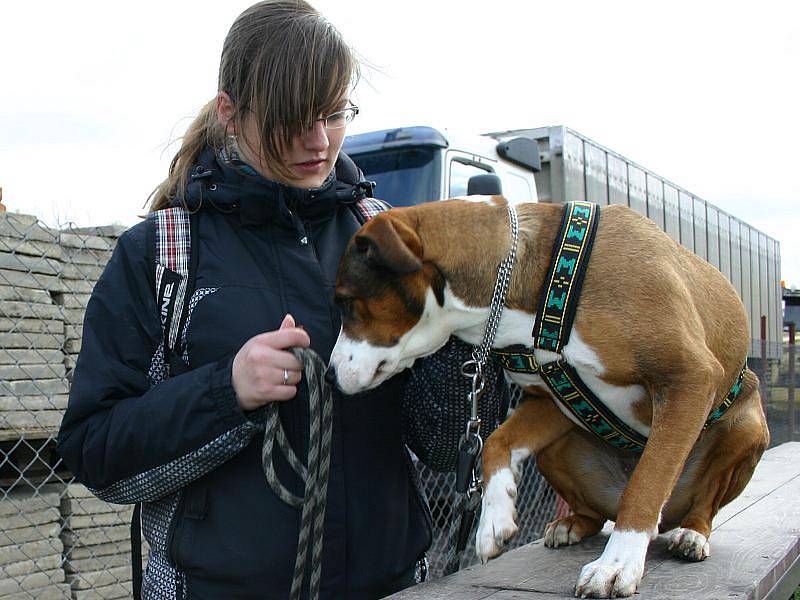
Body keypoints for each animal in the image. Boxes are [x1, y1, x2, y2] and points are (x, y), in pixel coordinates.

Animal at [330, 197, 768, 596]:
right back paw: (572, 524)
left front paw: (617, 562)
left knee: (701, 503)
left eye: (347, 303)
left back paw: (691, 534)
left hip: (746, 428)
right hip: (559, 449)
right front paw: (494, 517)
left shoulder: (689, 379)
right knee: (593, 510)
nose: (330, 375)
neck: (540, 287)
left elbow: (646, 483)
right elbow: (495, 440)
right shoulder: (553, 400)